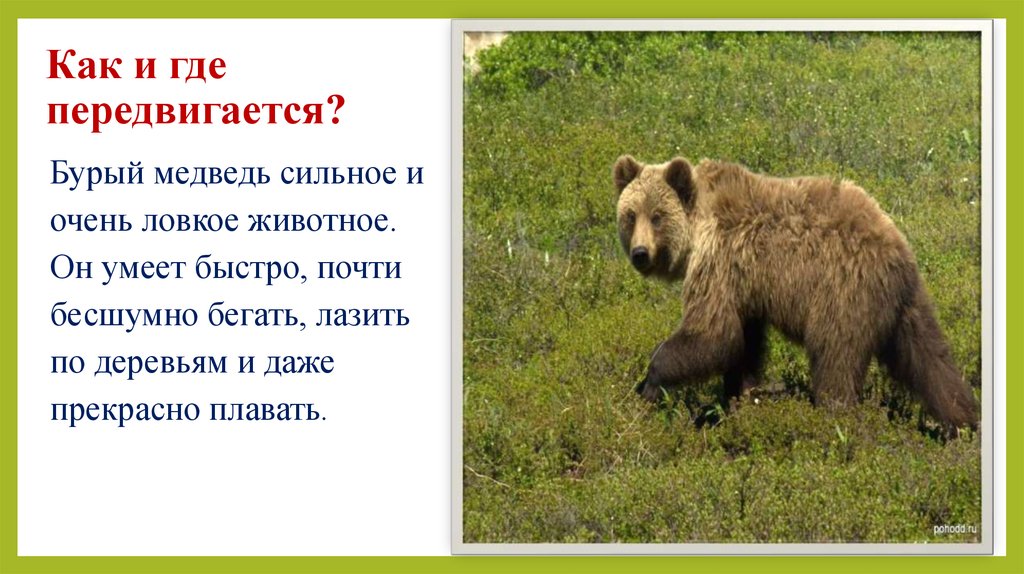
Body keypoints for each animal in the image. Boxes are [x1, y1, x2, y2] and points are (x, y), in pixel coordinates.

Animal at [613, 155, 978, 430]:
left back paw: (834, 419)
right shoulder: (745, 284)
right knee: (932, 360)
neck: (698, 227)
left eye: (657, 216)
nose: (640, 253)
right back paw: (963, 423)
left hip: (841, 291)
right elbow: (743, 345)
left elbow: (713, 334)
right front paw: (739, 399)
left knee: (835, 362)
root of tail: (896, 248)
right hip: (908, 305)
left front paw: (649, 383)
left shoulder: (719, 260)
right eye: (630, 215)